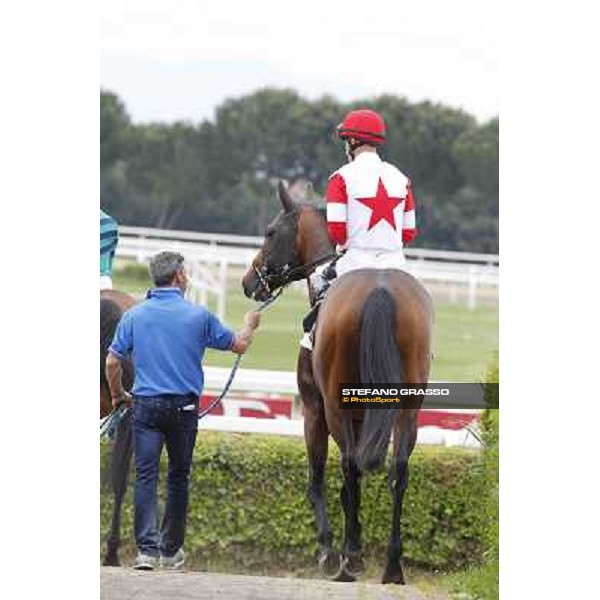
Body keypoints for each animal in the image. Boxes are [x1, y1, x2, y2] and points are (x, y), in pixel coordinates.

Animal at [241, 182, 434, 580]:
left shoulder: (315, 412)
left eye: (270, 231)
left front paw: (330, 551)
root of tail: (379, 289)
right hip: (409, 407)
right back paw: (392, 564)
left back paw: (349, 558)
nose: (249, 282)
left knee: (350, 465)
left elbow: (318, 481)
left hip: (334, 405)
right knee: (398, 470)